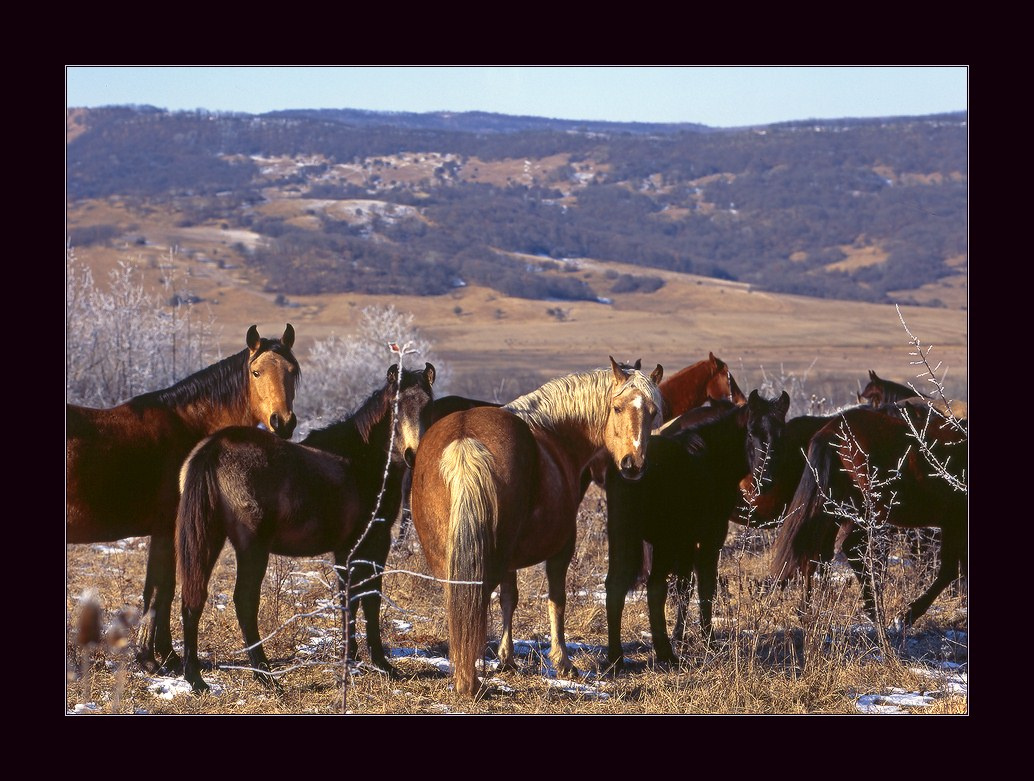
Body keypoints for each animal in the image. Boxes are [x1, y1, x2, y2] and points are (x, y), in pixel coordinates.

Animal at [67, 324, 300, 673]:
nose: (282, 422)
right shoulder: (168, 530)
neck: (188, 426)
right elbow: (159, 590)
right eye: (256, 372)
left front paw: (163, 654)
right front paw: (151, 657)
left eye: (293, 371)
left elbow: (163, 589)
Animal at [178, 363, 436, 693]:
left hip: (208, 539)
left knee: (193, 598)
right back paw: (265, 675)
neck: (362, 458)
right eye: (396, 405)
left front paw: (351, 657)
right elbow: (369, 598)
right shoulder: (374, 543)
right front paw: (381, 663)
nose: (414, 455)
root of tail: (213, 449)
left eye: (428, 405)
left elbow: (349, 598)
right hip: (252, 548)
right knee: (244, 601)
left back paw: (195, 678)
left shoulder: (345, 551)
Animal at [409, 358, 664, 697]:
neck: (554, 433)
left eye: (653, 411)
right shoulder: (561, 549)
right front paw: (563, 662)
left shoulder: (509, 561)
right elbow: (557, 601)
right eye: (617, 407)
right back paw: (469, 682)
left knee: (460, 605)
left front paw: (506, 659)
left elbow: (509, 599)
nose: (633, 464)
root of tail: (465, 440)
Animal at [603, 390, 790, 672]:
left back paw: (616, 659)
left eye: (781, 434)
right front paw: (708, 640)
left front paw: (681, 636)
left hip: (624, 537)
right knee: (655, 587)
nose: (764, 480)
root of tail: (632, 466)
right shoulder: (710, 538)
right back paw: (665, 654)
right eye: (751, 433)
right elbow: (705, 588)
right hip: (661, 543)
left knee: (615, 587)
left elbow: (684, 588)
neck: (712, 456)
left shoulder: (686, 541)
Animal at [769, 402, 967, 630]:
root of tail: (832, 430)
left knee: (818, 552)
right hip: (865, 509)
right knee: (846, 548)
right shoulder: (955, 522)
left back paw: (811, 611)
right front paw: (907, 615)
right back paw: (871, 611)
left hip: (837, 508)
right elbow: (949, 571)